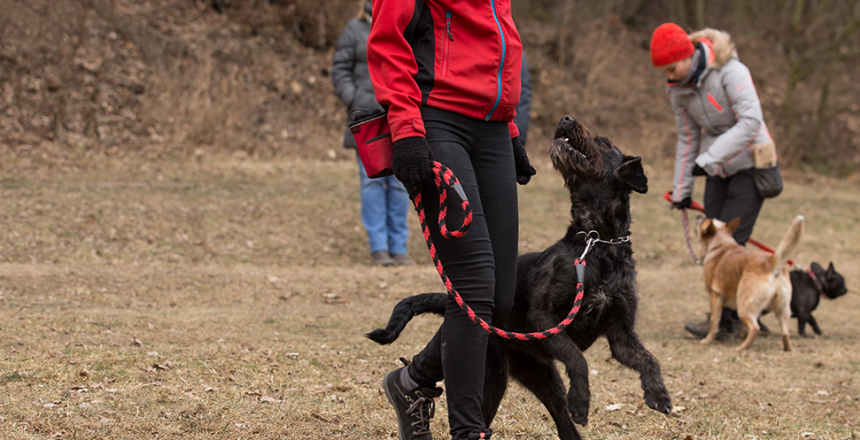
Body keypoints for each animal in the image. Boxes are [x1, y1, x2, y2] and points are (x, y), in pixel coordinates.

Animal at [368, 115, 672, 438]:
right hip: (494, 377)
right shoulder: (545, 317)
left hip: (542, 378)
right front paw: (581, 399)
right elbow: (577, 357)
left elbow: (648, 359)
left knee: (564, 424)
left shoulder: (620, 333)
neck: (596, 241)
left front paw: (659, 394)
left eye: (604, 143)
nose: (566, 118)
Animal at [696, 215, 804, 348]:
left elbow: (714, 322)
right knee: (785, 332)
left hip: (744, 307)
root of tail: (770, 263)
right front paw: (741, 337)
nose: (698, 216)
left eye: (702, 222)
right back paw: (787, 349)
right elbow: (743, 327)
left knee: (755, 328)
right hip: (782, 309)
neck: (721, 244)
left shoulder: (715, 296)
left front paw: (707, 340)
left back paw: (742, 348)